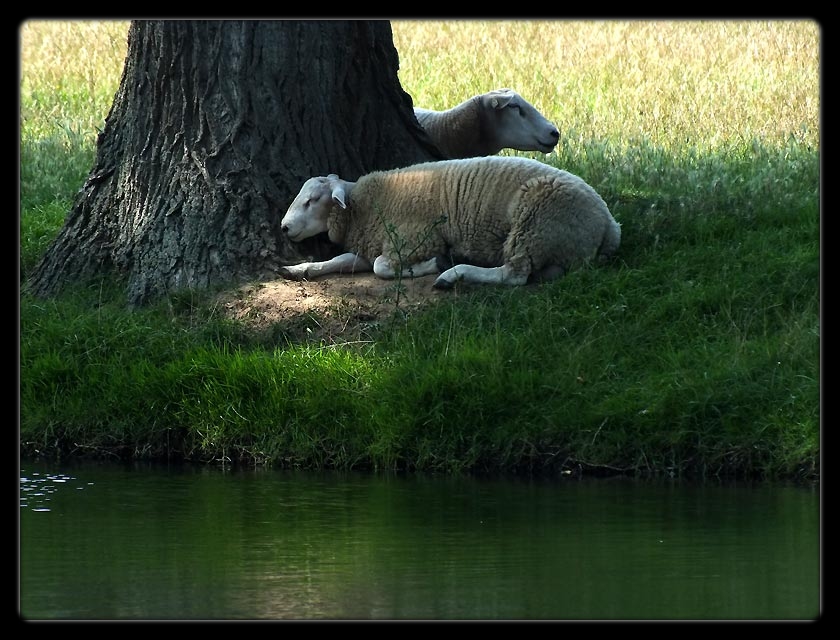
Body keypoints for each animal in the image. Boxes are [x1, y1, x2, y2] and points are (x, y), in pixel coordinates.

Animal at [278, 156, 620, 288]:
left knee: (514, 275)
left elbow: (381, 268)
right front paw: (298, 269)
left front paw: (433, 265)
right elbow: (338, 262)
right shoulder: (370, 244)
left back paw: (453, 274)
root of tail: (609, 225)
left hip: (534, 225)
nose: (284, 227)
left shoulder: (414, 239)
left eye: (311, 201)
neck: (364, 206)